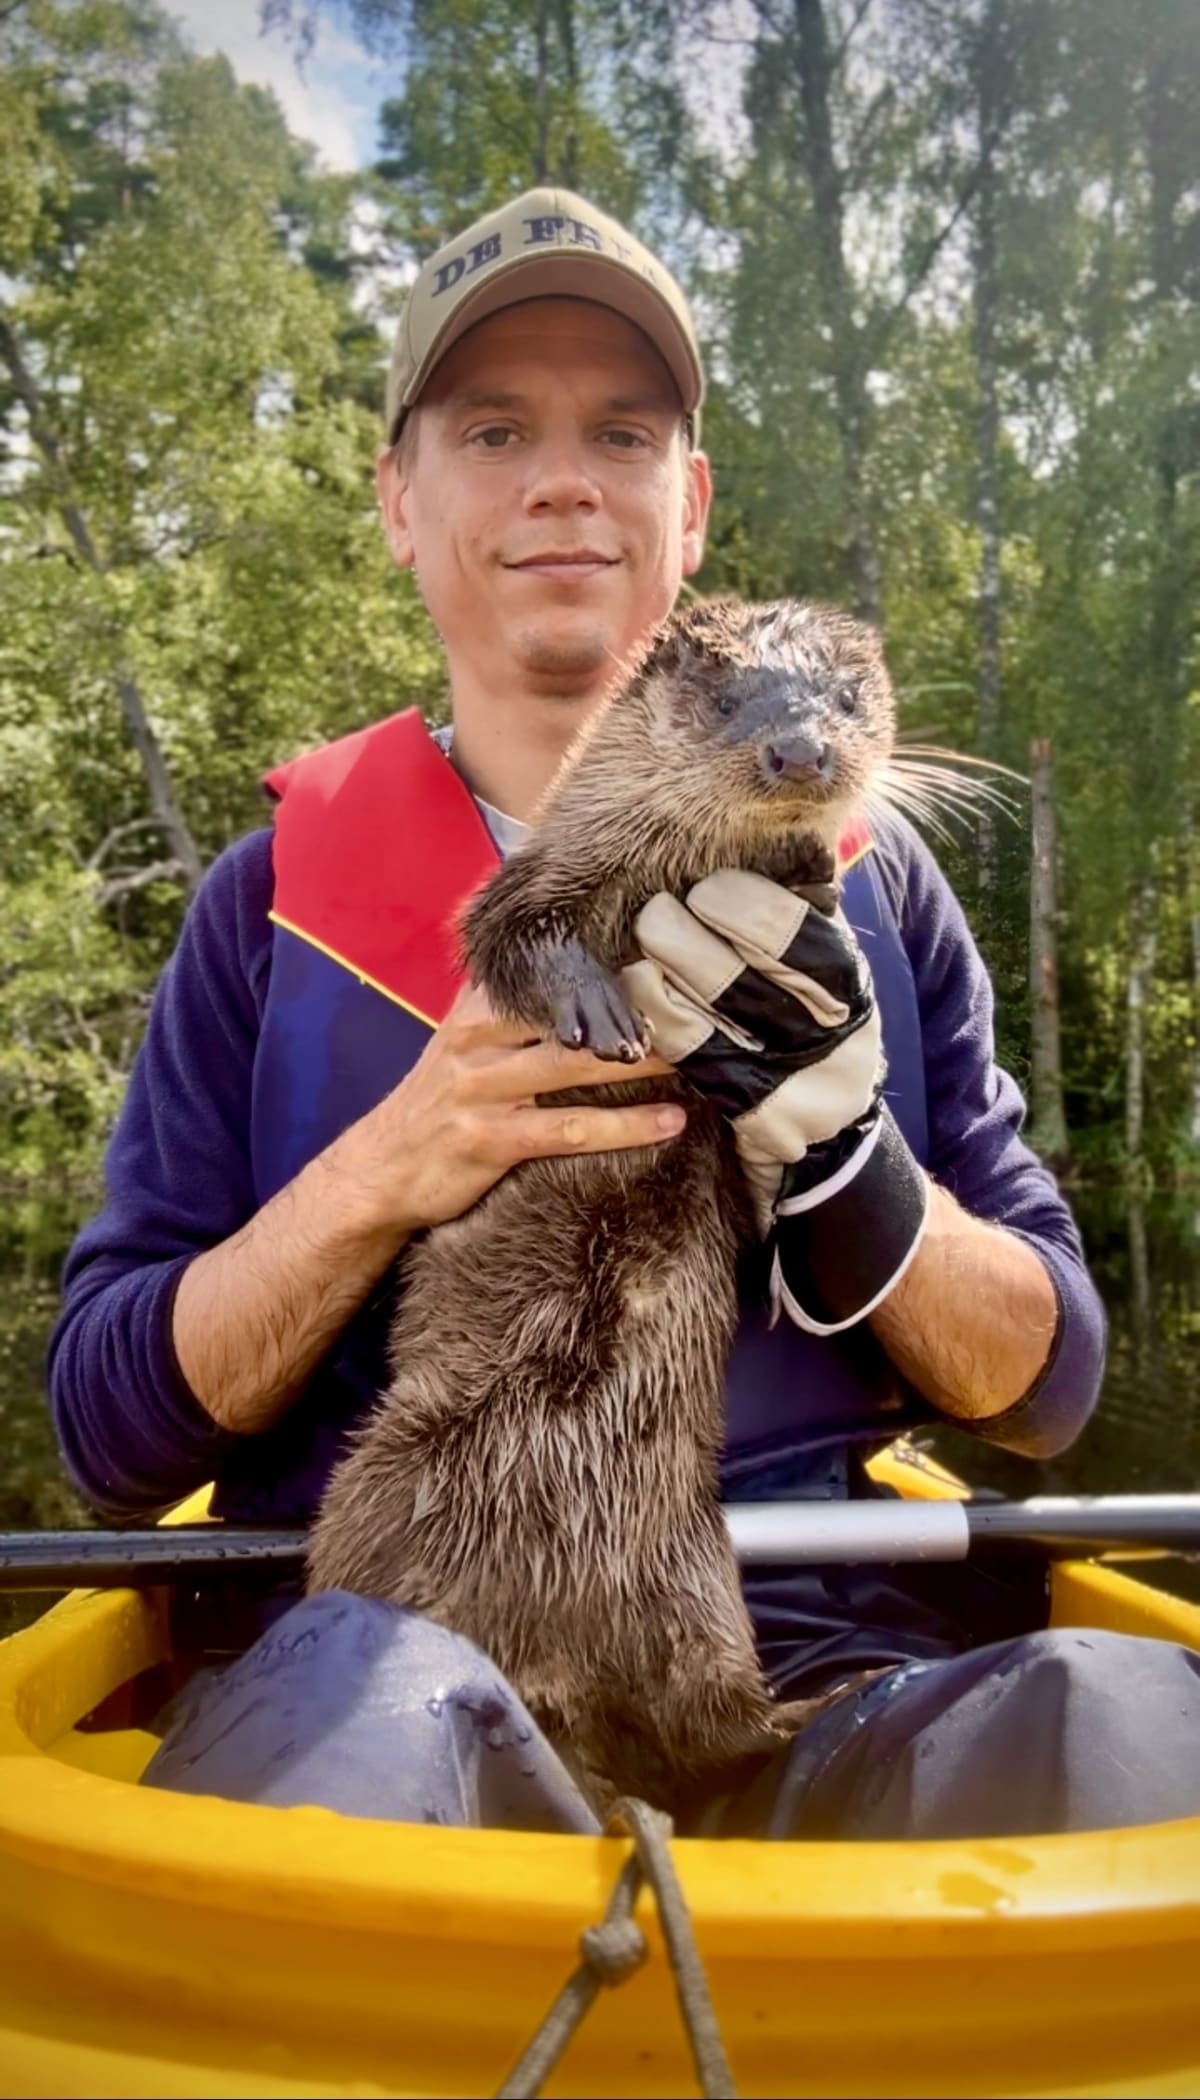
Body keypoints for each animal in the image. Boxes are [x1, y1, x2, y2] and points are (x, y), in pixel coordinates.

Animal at [307, 597, 896, 1815]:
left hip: (696, 1577)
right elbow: (514, 933)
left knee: (716, 1725)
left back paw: (826, 1699)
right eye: (728, 697)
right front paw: (597, 1009)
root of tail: (553, 1668)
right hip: (385, 1493)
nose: (802, 754)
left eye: (848, 699)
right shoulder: (548, 872)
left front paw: (813, 894)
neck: (663, 878)